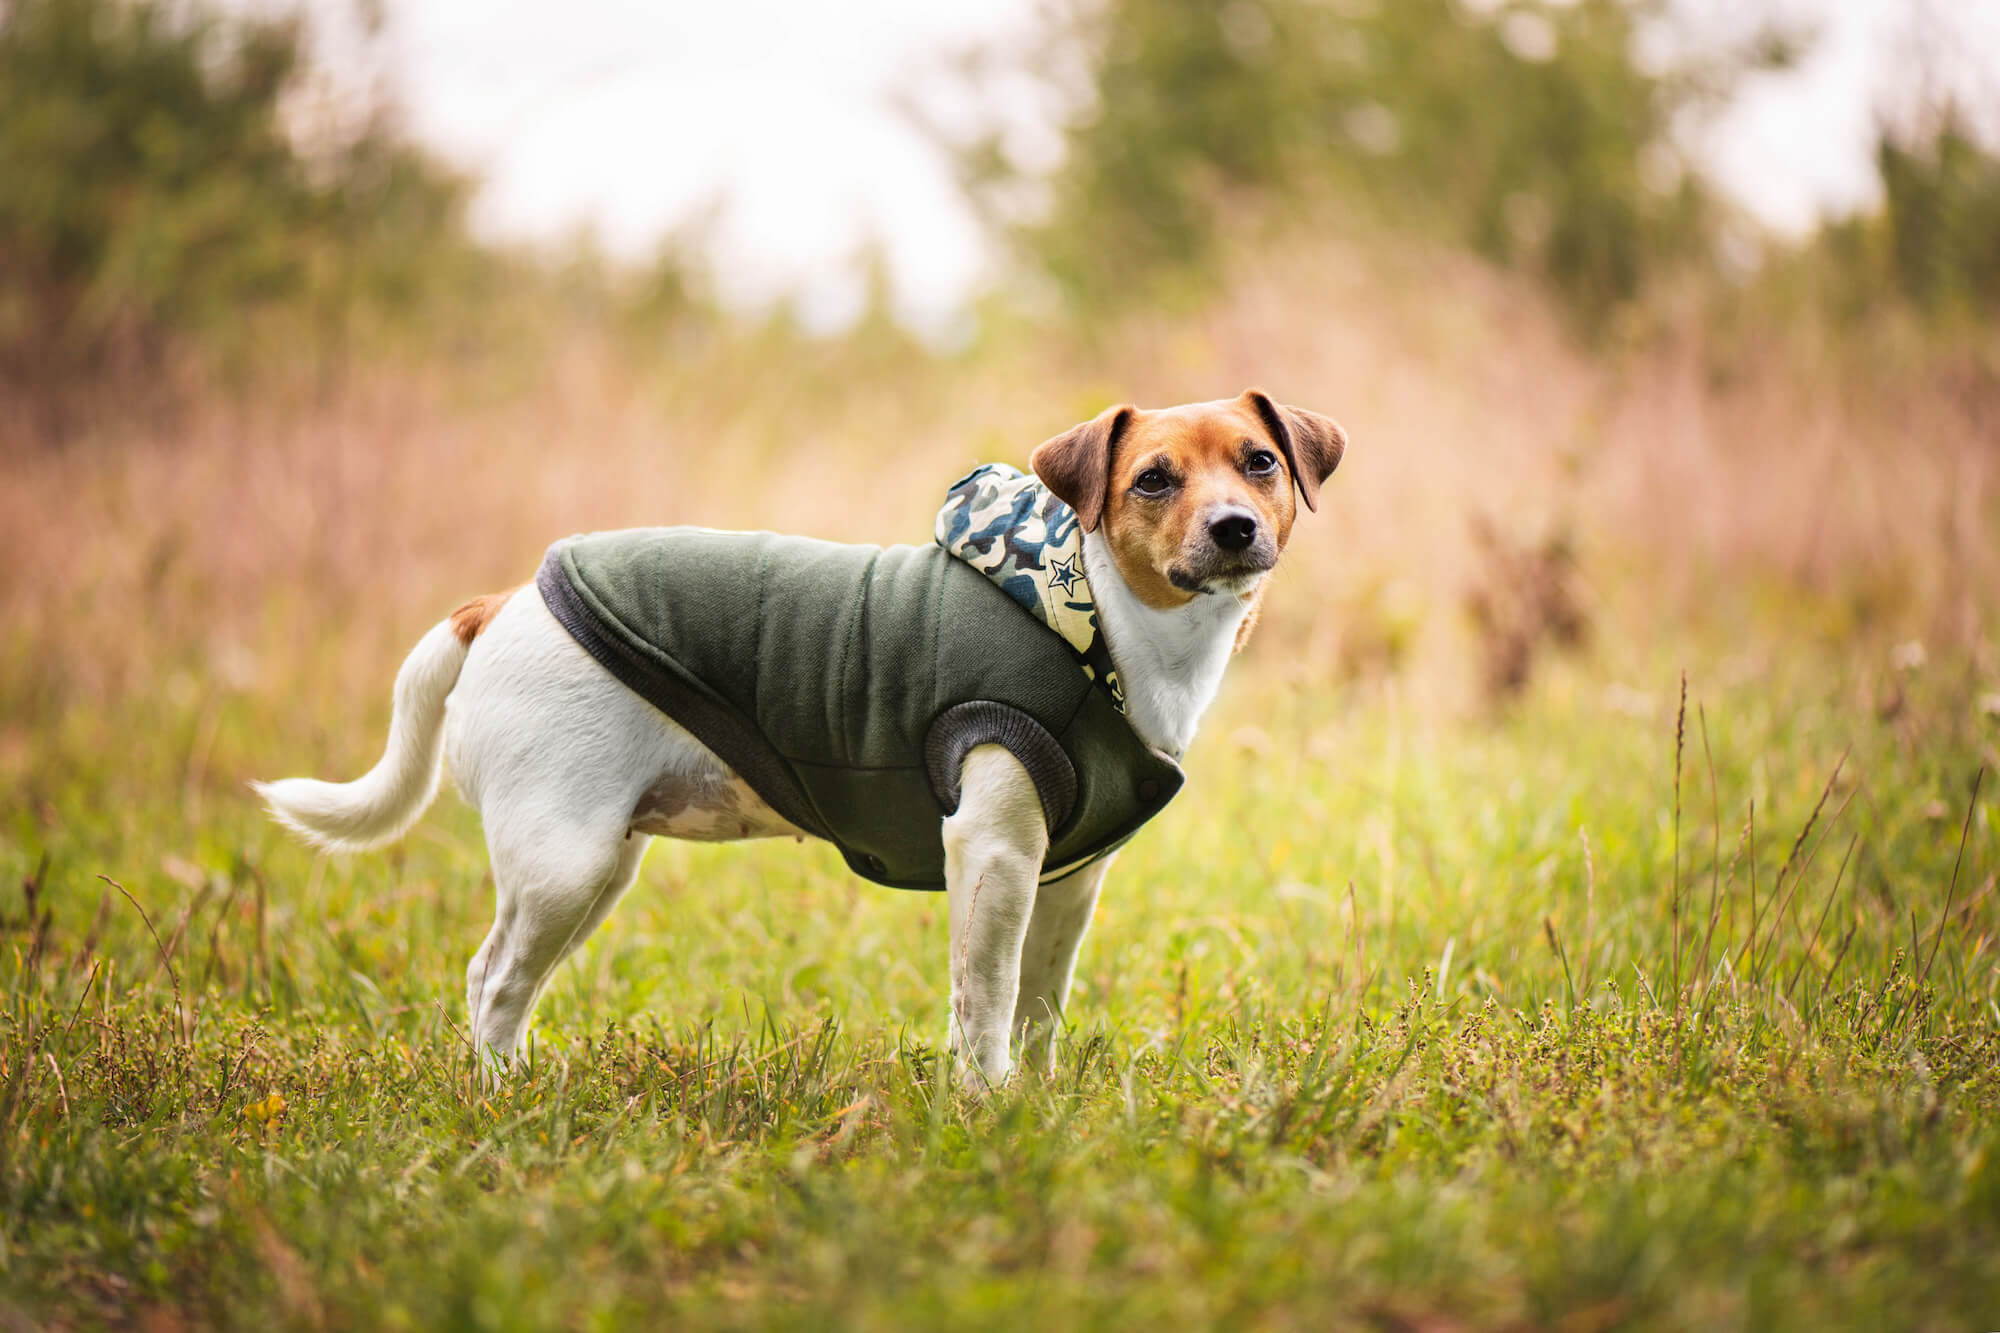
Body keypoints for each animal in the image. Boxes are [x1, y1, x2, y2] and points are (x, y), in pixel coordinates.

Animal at [250, 390, 1344, 1088]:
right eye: (1153, 480)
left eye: (1259, 462)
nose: (1235, 527)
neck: (1107, 629)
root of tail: (501, 604)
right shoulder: (992, 854)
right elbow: (985, 997)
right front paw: (986, 1105)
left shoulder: (1064, 883)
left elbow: (1037, 1001)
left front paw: (1035, 1099)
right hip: (562, 864)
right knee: (492, 981)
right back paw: (497, 1099)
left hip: (597, 866)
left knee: (510, 983)